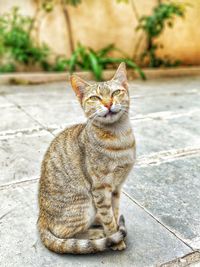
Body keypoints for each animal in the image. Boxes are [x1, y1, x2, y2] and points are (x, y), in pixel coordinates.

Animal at [37, 61, 136, 254]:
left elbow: (114, 211)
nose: (108, 103)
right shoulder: (100, 188)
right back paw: (96, 233)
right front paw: (115, 239)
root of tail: (41, 219)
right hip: (83, 204)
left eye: (115, 93)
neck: (119, 137)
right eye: (95, 98)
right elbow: (109, 219)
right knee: (66, 233)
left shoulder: (116, 187)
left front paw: (114, 229)